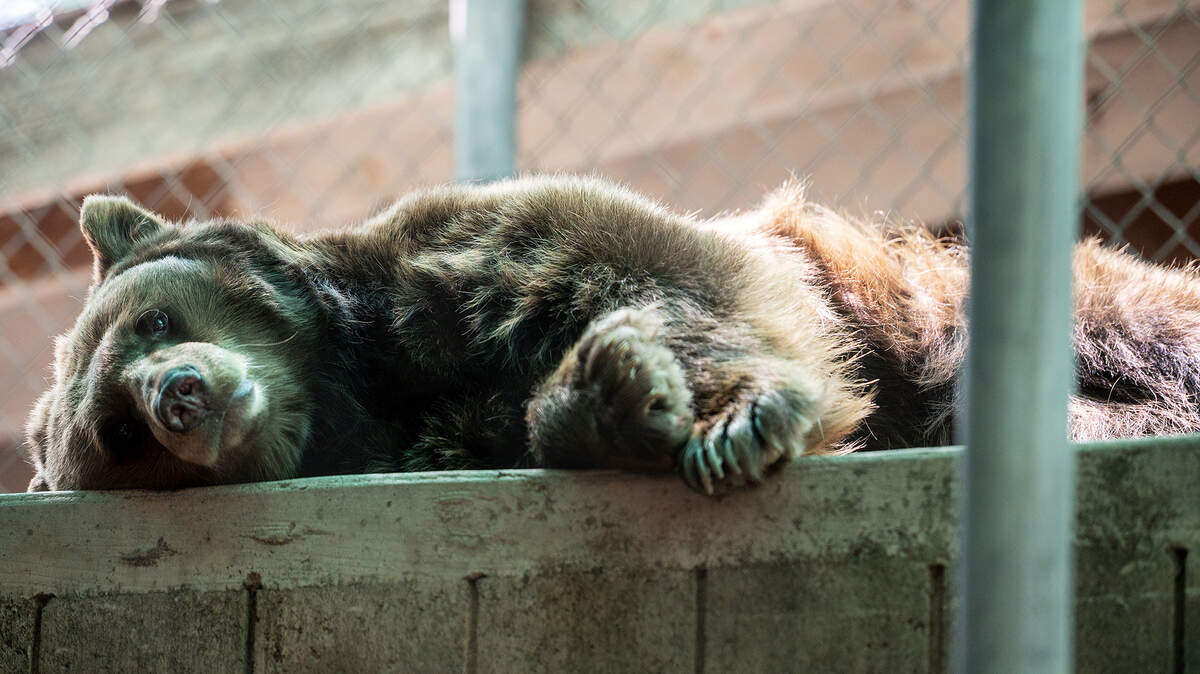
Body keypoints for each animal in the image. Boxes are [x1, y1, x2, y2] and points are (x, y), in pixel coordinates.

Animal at [23, 175, 1200, 494]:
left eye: (155, 315)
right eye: (115, 434)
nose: (177, 393)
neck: (360, 382)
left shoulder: (461, 261)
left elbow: (662, 276)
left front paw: (739, 416)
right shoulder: (441, 422)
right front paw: (617, 398)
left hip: (949, 297)